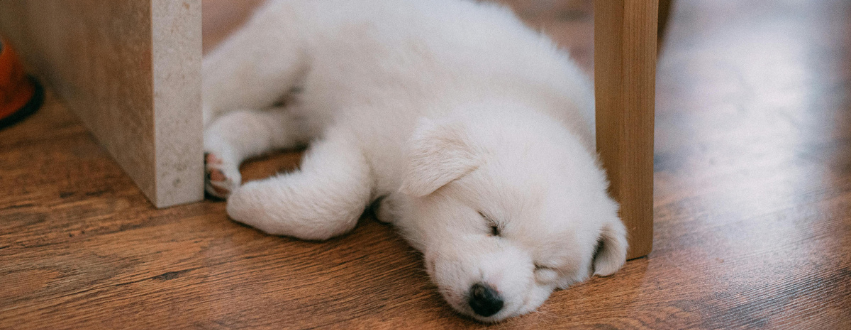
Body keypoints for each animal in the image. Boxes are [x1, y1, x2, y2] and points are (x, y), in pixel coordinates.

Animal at [203, 0, 628, 320]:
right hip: (277, 55)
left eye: (544, 268)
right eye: (491, 226)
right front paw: (248, 205)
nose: (488, 299)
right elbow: (339, 202)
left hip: (298, 105)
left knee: (258, 120)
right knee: (216, 86)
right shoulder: (361, 129)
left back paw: (217, 160)